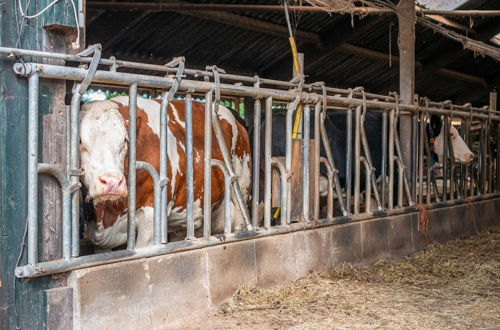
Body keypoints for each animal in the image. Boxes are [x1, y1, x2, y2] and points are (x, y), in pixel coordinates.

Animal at [79, 96, 252, 249]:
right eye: (80, 141)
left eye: (125, 141)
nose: (112, 182)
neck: (106, 214)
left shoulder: (151, 216)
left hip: (241, 190)